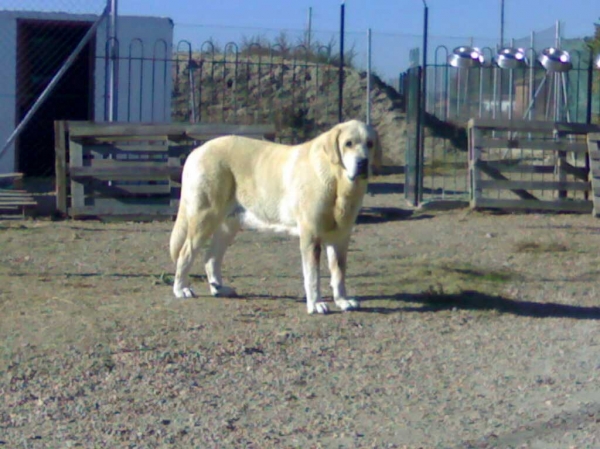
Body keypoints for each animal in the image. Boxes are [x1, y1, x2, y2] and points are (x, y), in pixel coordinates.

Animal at [169, 120, 380, 316]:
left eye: (370, 144)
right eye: (348, 143)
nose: (363, 162)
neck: (337, 180)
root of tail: (197, 150)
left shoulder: (340, 238)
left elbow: (339, 273)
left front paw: (343, 300)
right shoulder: (311, 236)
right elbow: (313, 276)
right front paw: (316, 304)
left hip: (229, 224)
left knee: (211, 257)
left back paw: (220, 289)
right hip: (205, 217)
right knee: (185, 252)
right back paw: (181, 289)